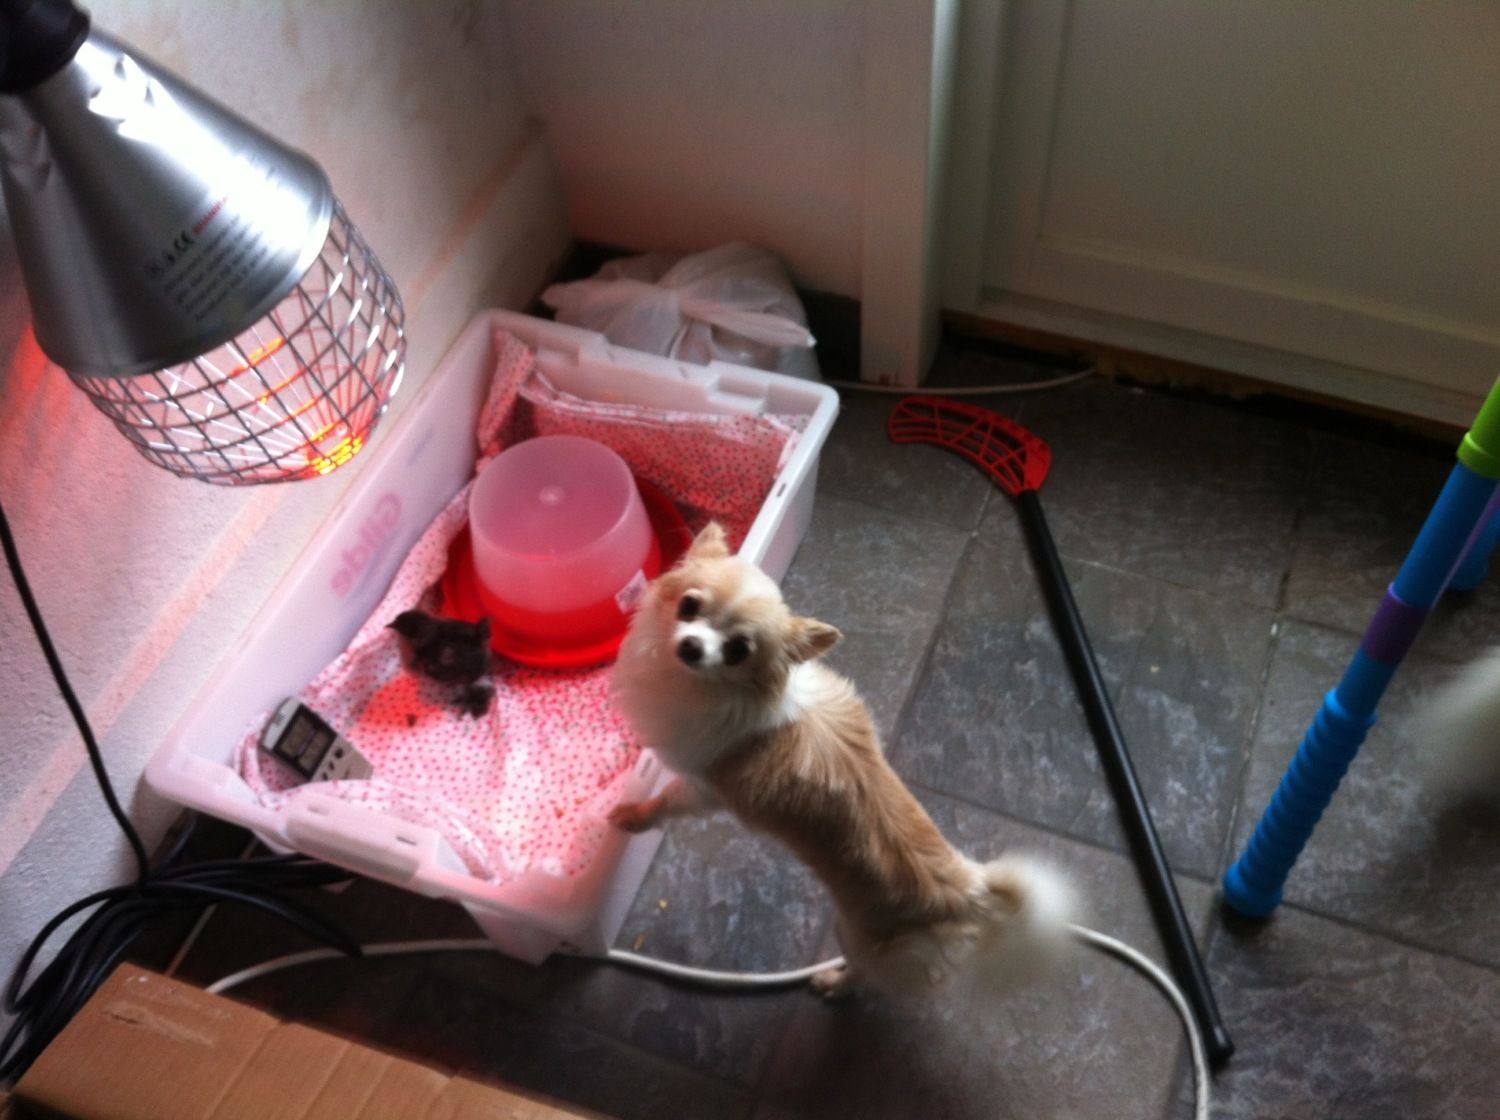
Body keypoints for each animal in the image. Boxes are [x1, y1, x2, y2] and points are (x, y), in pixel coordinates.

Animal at [608, 523, 1075, 1000]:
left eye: (737, 650)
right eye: (689, 605)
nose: (691, 646)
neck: (710, 686)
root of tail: (971, 891)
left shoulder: (705, 787)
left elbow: (667, 801)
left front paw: (631, 817)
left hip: (859, 937)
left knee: (866, 973)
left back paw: (833, 983)